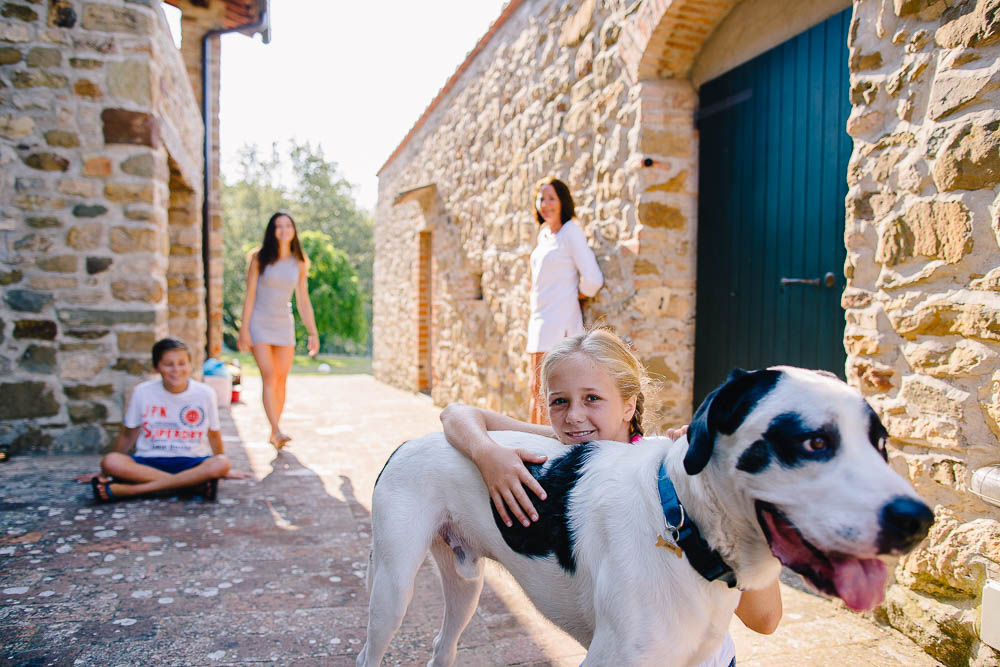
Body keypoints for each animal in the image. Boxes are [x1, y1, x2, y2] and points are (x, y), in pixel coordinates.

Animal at [358, 368, 928, 664]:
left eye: (881, 444)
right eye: (814, 441)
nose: (918, 520)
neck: (684, 527)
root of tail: (411, 440)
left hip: (466, 586)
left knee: (444, 644)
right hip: (392, 592)